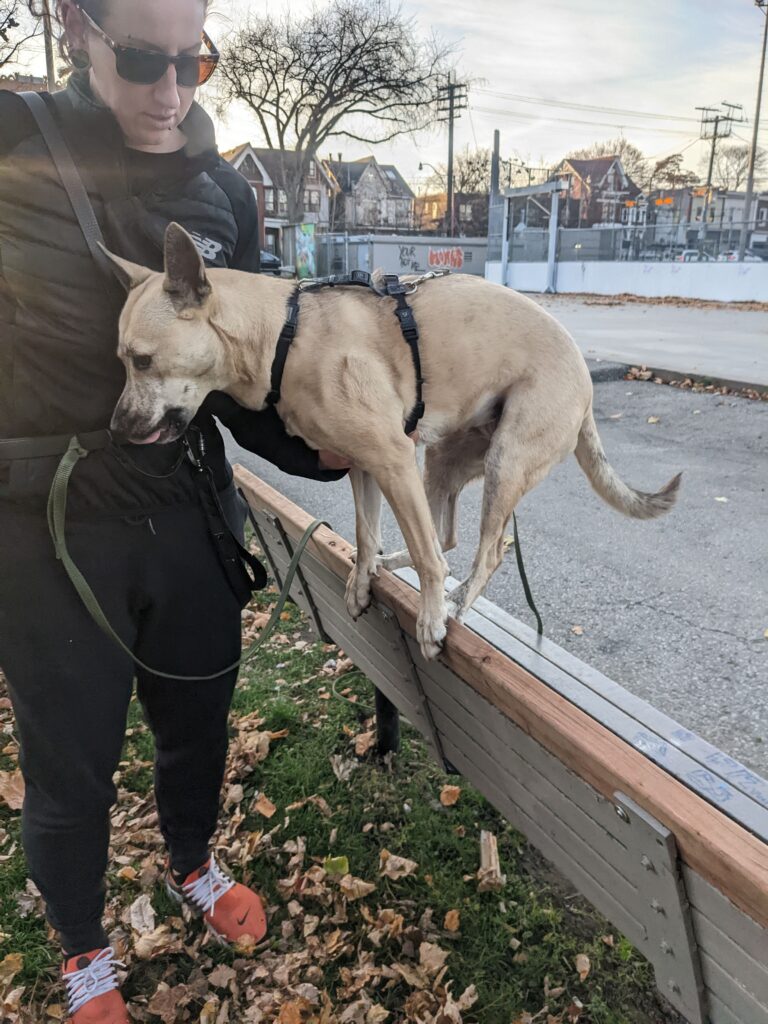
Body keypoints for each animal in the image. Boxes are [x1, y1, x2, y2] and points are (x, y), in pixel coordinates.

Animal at [107, 223, 679, 655]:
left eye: (143, 360)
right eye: (123, 360)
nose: (115, 432)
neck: (284, 335)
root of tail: (586, 382)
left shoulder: (391, 458)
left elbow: (427, 556)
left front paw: (429, 620)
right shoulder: (365, 464)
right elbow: (366, 535)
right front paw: (363, 580)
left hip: (505, 460)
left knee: (481, 551)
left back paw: (454, 603)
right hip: (444, 458)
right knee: (444, 535)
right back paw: (399, 565)